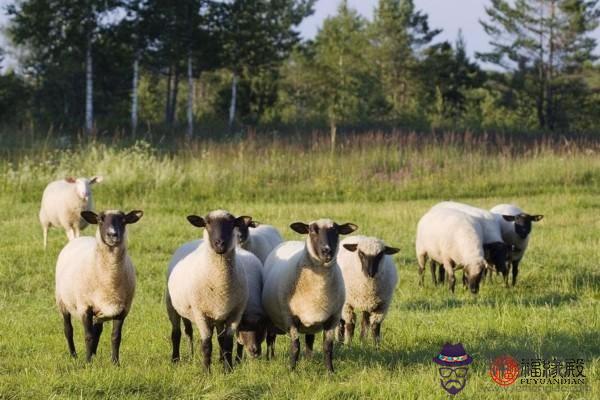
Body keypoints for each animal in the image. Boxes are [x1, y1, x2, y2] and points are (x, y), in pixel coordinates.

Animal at [54, 209, 143, 362]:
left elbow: (115, 337)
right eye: (100, 220)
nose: (112, 234)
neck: (110, 280)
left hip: (100, 311)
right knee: (68, 329)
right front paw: (87, 362)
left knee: (98, 330)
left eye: (123, 220)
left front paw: (115, 362)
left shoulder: (122, 310)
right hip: (62, 302)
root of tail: (80, 238)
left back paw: (94, 354)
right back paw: (74, 355)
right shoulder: (85, 307)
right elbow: (88, 336)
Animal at [166, 211, 253, 370]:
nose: (220, 243)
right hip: (170, 304)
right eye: (207, 224)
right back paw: (175, 359)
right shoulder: (200, 313)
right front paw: (206, 370)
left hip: (217, 316)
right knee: (176, 333)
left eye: (232, 224)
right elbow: (206, 345)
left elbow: (227, 344)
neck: (220, 284)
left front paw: (228, 369)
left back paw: (220, 360)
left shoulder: (235, 314)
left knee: (219, 338)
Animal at [262, 219, 356, 372]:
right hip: (272, 318)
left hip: (311, 323)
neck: (318, 290)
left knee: (309, 340)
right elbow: (295, 347)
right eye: (312, 230)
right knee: (271, 338)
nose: (327, 251)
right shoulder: (290, 318)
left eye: (336, 231)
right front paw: (292, 370)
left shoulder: (333, 318)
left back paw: (308, 360)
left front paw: (330, 371)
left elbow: (328, 347)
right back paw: (270, 358)